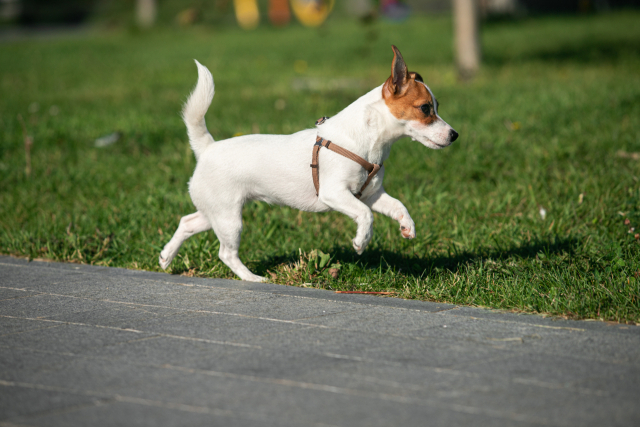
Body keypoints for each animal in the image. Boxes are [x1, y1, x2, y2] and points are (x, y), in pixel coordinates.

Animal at [160, 46, 460, 284]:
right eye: (425, 109)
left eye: (436, 107)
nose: (455, 135)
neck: (368, 142)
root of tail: (208, 148)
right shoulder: (336, 193)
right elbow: (366, 216)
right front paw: (361, 241)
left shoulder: (372, 195)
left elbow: (398, 206)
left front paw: (407, 226)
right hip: (228, 217)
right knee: (226, 253)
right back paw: (253, 278)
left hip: (214, 213)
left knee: (187, 222)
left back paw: (166, 257)